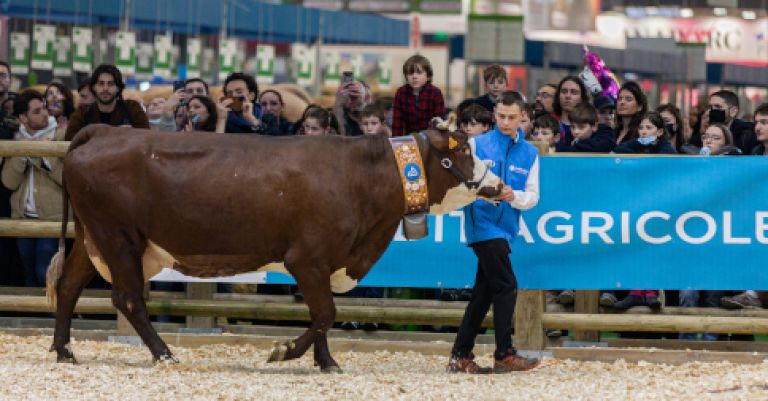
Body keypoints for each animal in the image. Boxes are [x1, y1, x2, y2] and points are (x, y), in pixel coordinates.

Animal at [48, 122, 504, 372]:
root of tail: (104, 131)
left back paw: (64, 350)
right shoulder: (307, 258)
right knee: (127, 298)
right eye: (463, 152)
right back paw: (164, 354)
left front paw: (326, 362)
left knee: (68, 286)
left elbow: (323, 316)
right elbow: (325, 313)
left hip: (91, 239)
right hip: (119, 237)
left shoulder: (326, 262)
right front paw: (284, 351)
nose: (497, 185)